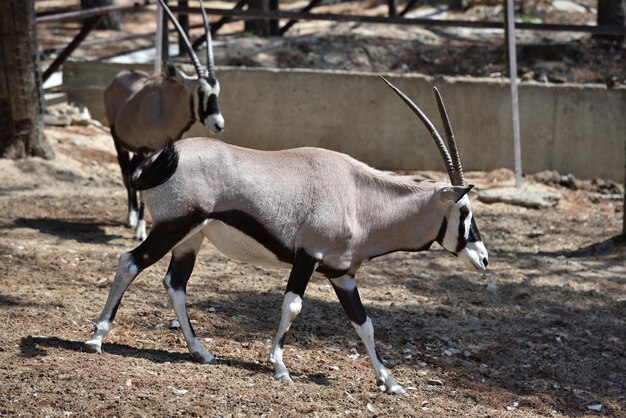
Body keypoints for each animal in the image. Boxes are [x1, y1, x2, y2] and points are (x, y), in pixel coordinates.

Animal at [85, 76, 488, 396]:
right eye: (464, 212)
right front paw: (279, 367)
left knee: (175, 283)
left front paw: (390, 382)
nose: (483, 259)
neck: (358, 196)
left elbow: (365, 323)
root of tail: (157, 161)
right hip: (173, 227)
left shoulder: (343, 275)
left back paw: (200, 352)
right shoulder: (308, 257)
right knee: (131, 261)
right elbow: (293, 305)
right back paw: (96, 337)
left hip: (189, 239)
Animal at [105, 0, 224, 240]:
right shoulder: (145, 149)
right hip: (117, 139)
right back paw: (131, 218)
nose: (218, 124)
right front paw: (141, 230)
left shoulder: (162, 151)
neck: (166, 110)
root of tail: (118, 77)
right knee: (125, 171)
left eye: (217, 91)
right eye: (200, 91)